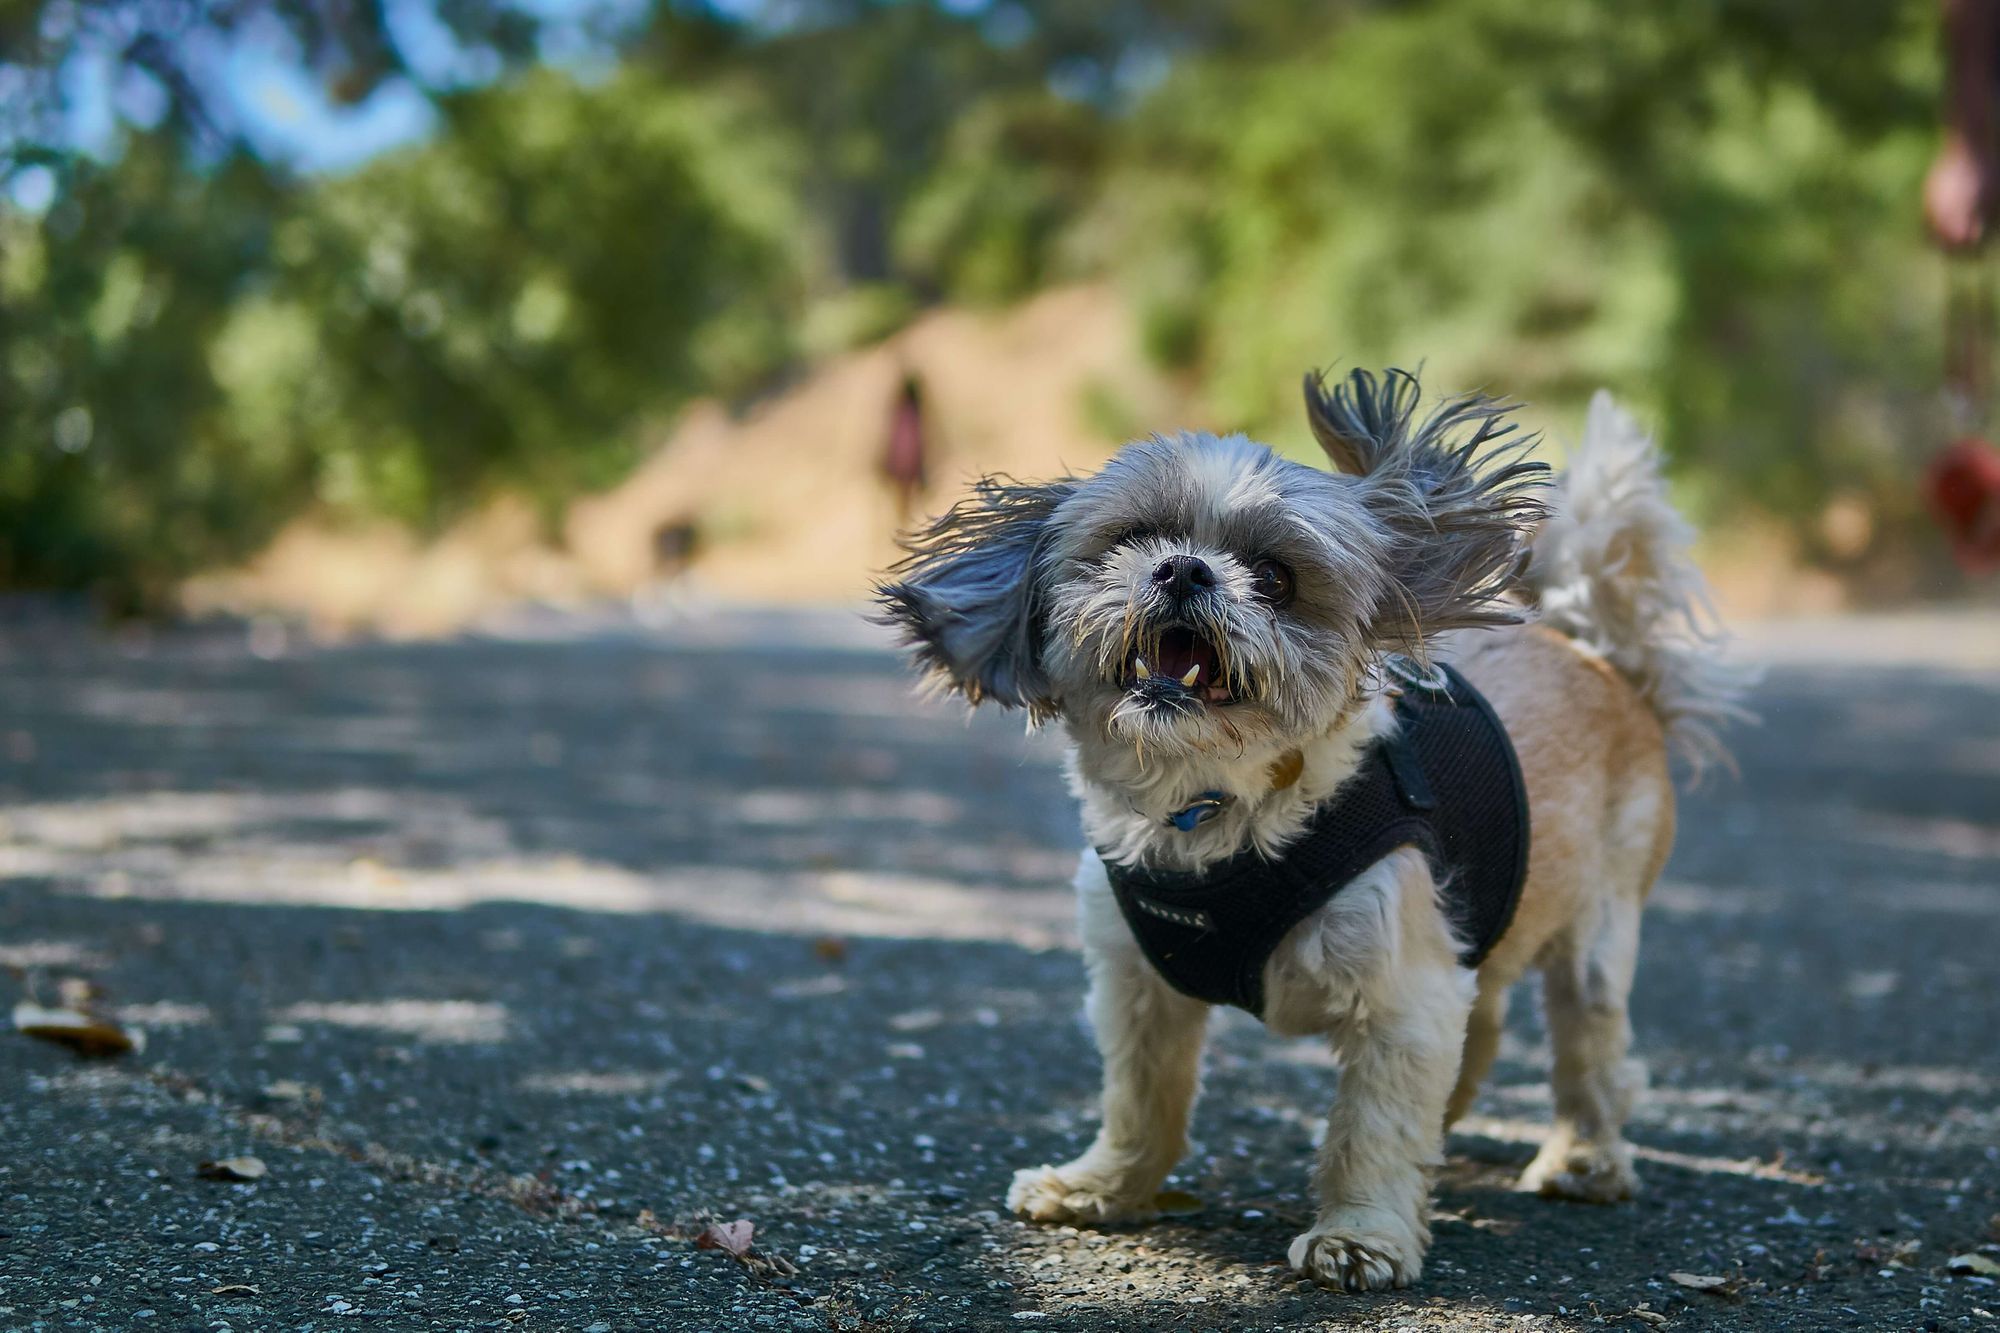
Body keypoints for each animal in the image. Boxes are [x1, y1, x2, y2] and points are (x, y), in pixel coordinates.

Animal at [876, 368, 1736, 1280]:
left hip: (1595, 939)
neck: (1217, 811)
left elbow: (1373, 1126)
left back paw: (1586, 1159)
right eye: (1134, 539)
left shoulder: (1402, 992)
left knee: (1590, 1054)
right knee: (1487, 1025)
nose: (1182, 569)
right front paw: (1103, 1186)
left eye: (1276, 577)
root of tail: (1600, 659)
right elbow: (1142, 1097)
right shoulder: (1139, 985)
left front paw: (1361, 1235)